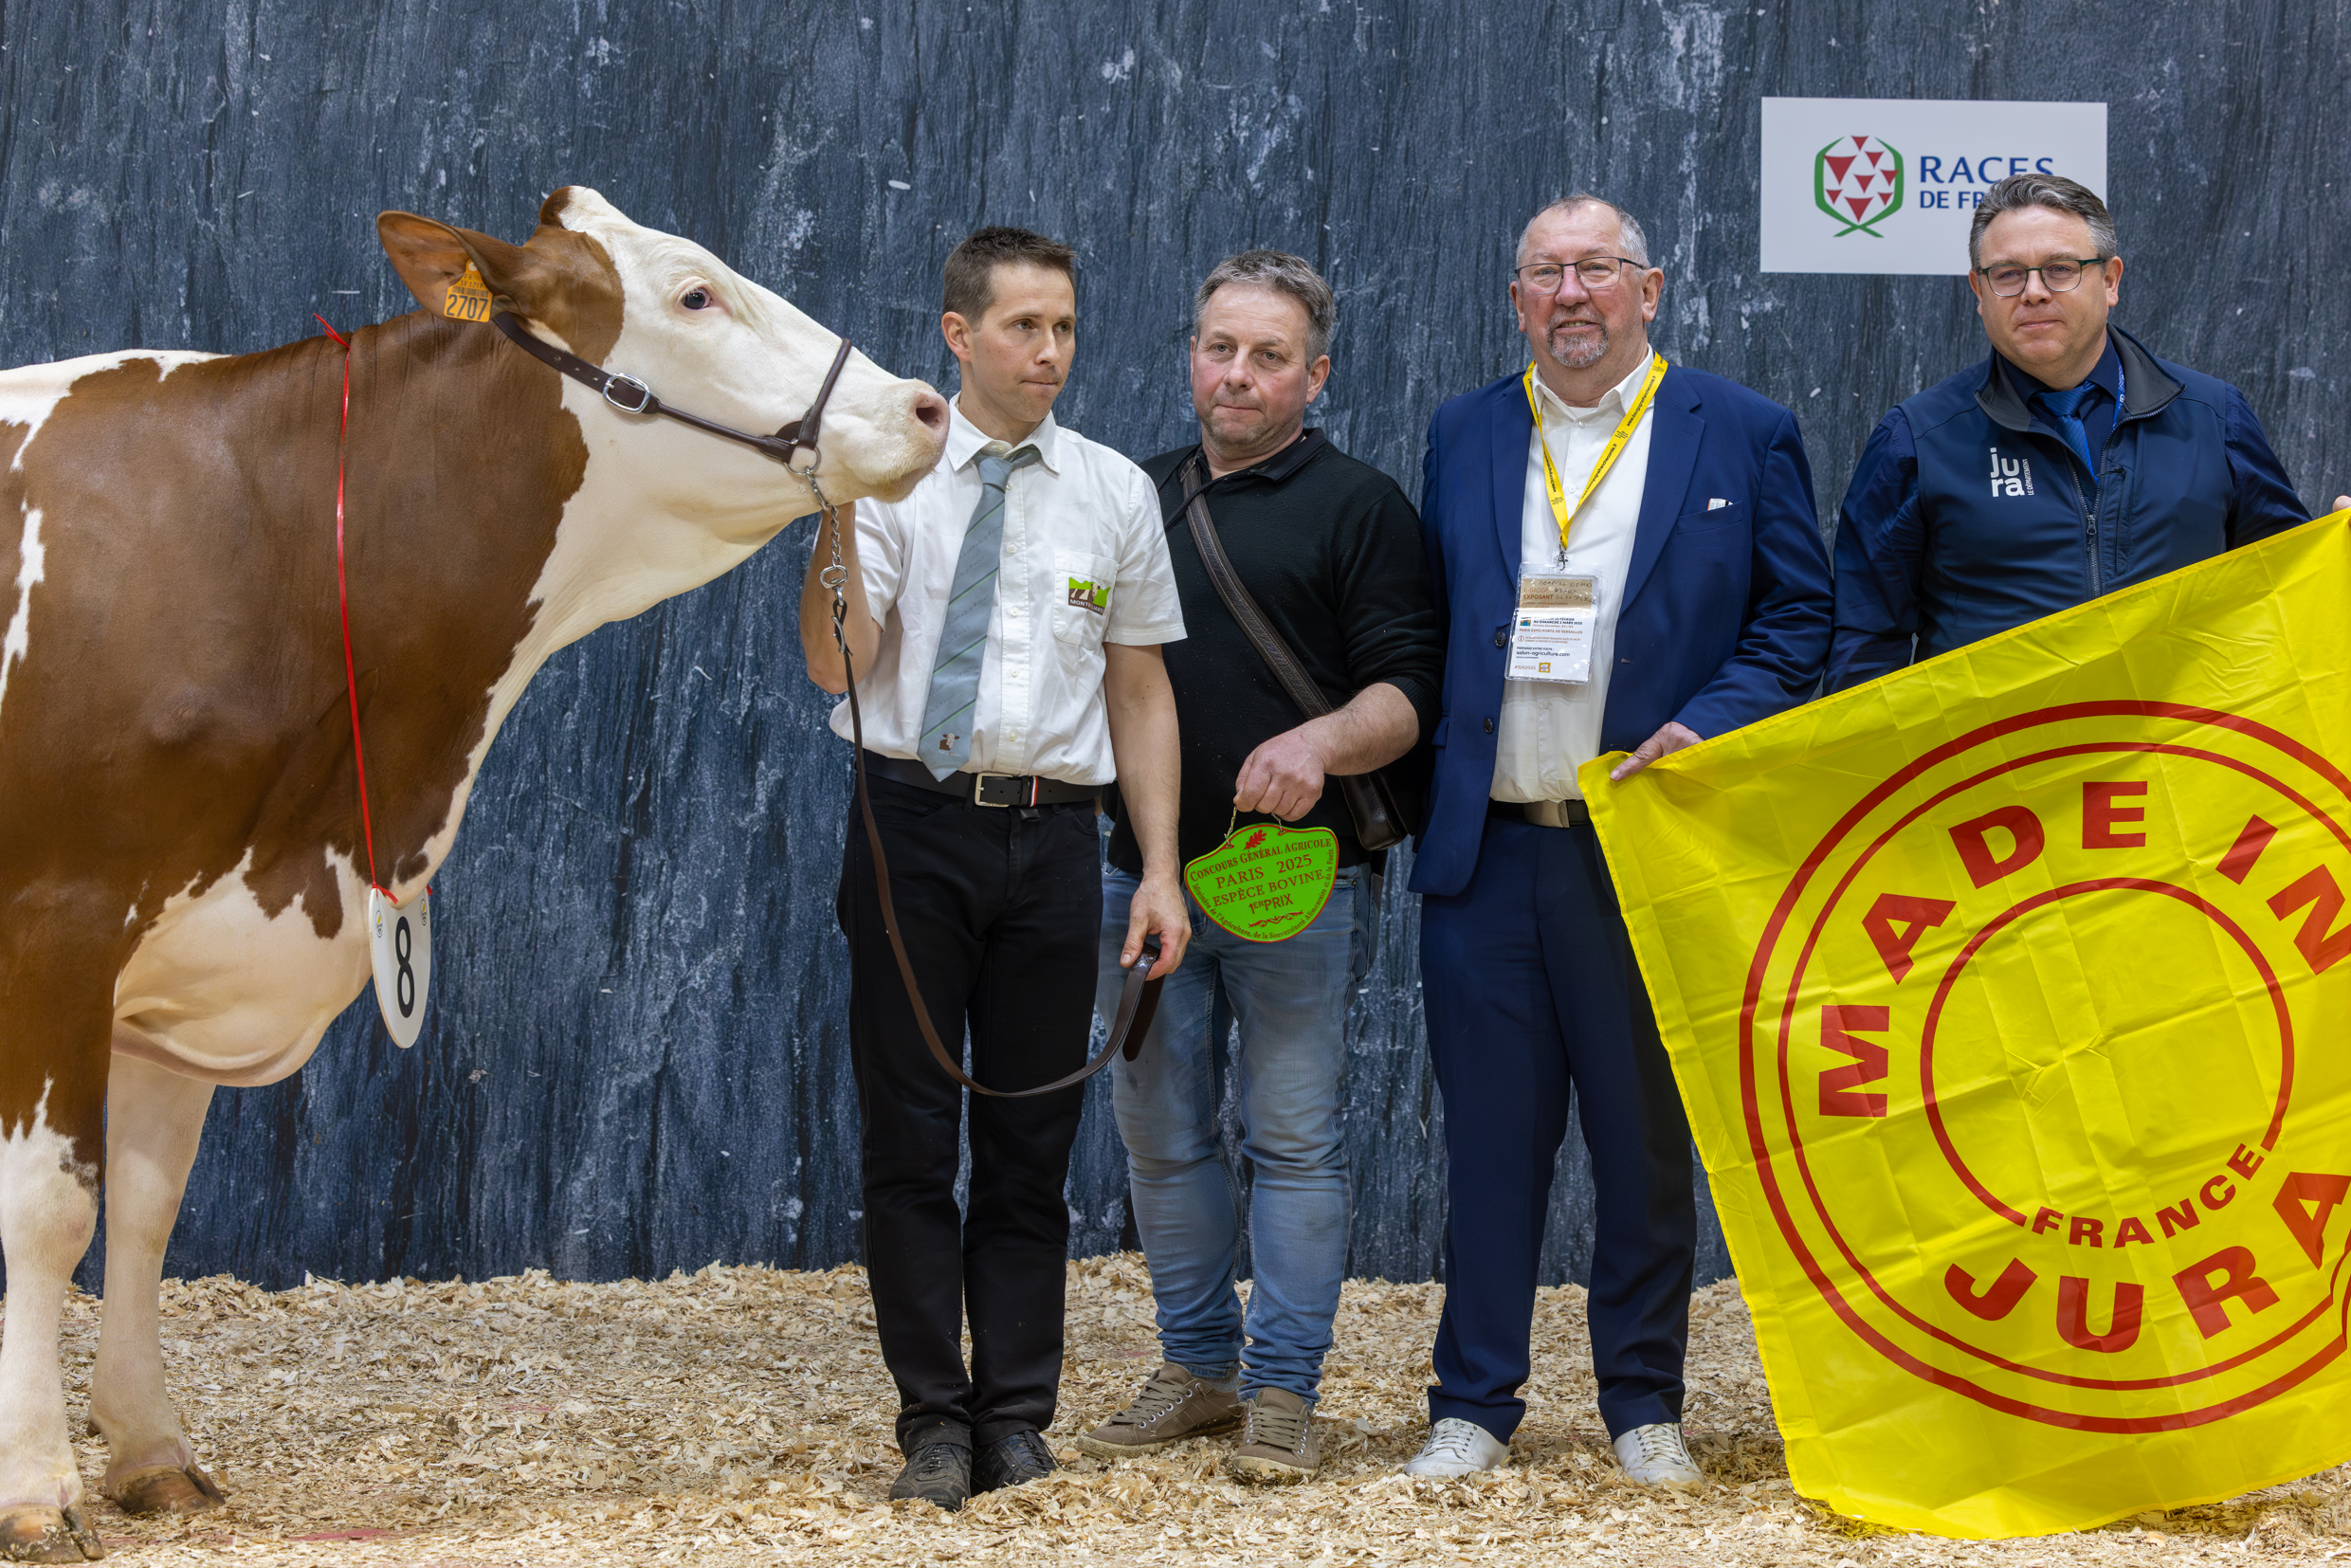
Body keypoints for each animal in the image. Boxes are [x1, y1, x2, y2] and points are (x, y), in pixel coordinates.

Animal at [0, 184, 944, 1560]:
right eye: (694, 293)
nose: (925, 405)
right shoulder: (59, 920)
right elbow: (48, 1207)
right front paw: (35, 1486)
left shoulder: (194, 943)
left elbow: (145, 1204)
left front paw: (151, 1451)